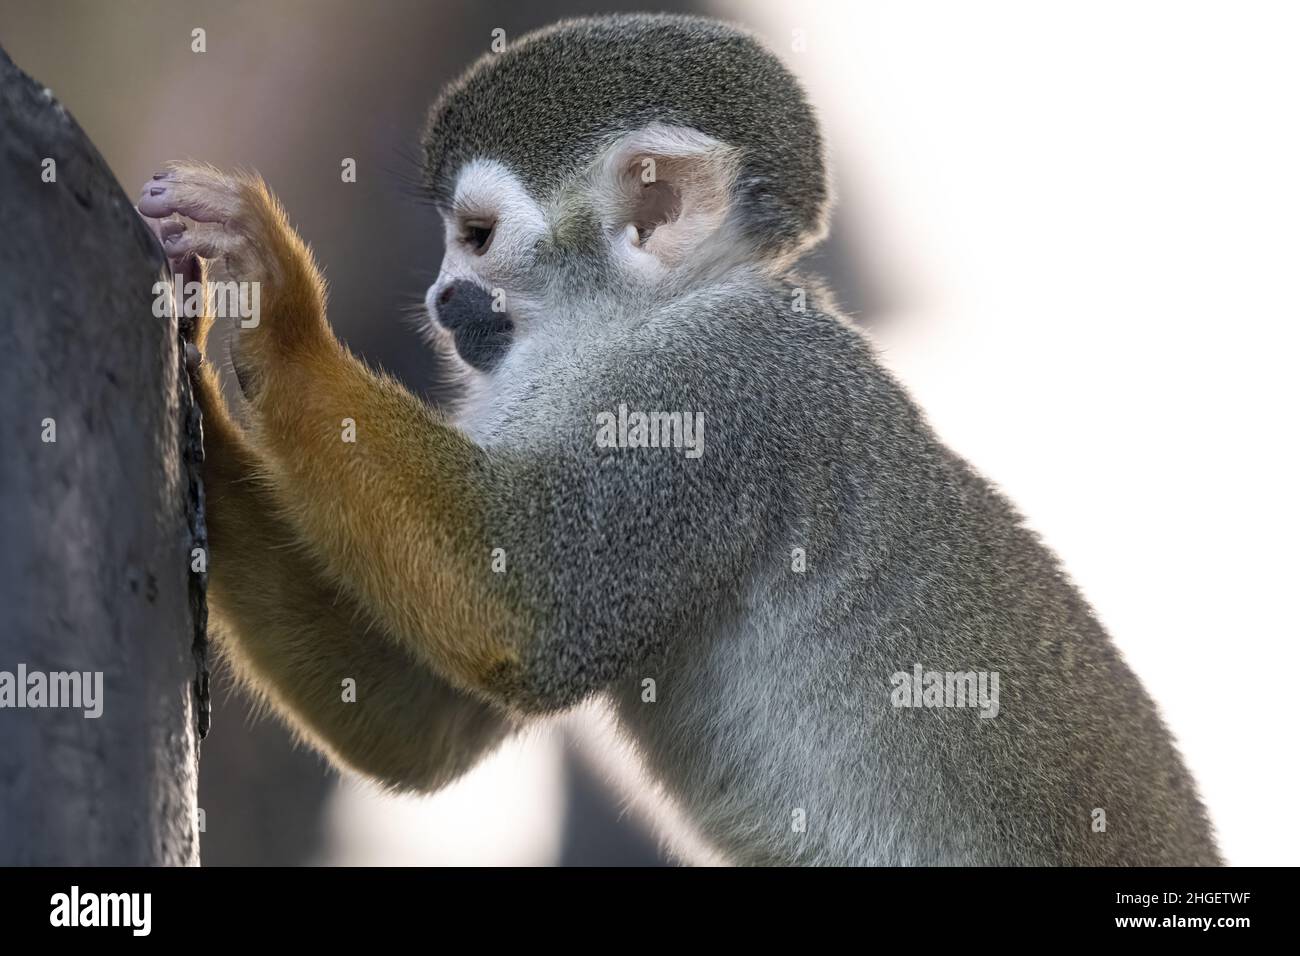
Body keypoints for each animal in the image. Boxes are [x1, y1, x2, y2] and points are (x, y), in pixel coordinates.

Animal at [137, 14, 1222, 868]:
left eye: (476, 235)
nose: (443, 294)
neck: (641, 323)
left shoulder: (713, 400)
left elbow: (529, 609)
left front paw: (279, 307)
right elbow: (423, 721)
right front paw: (201, 432)